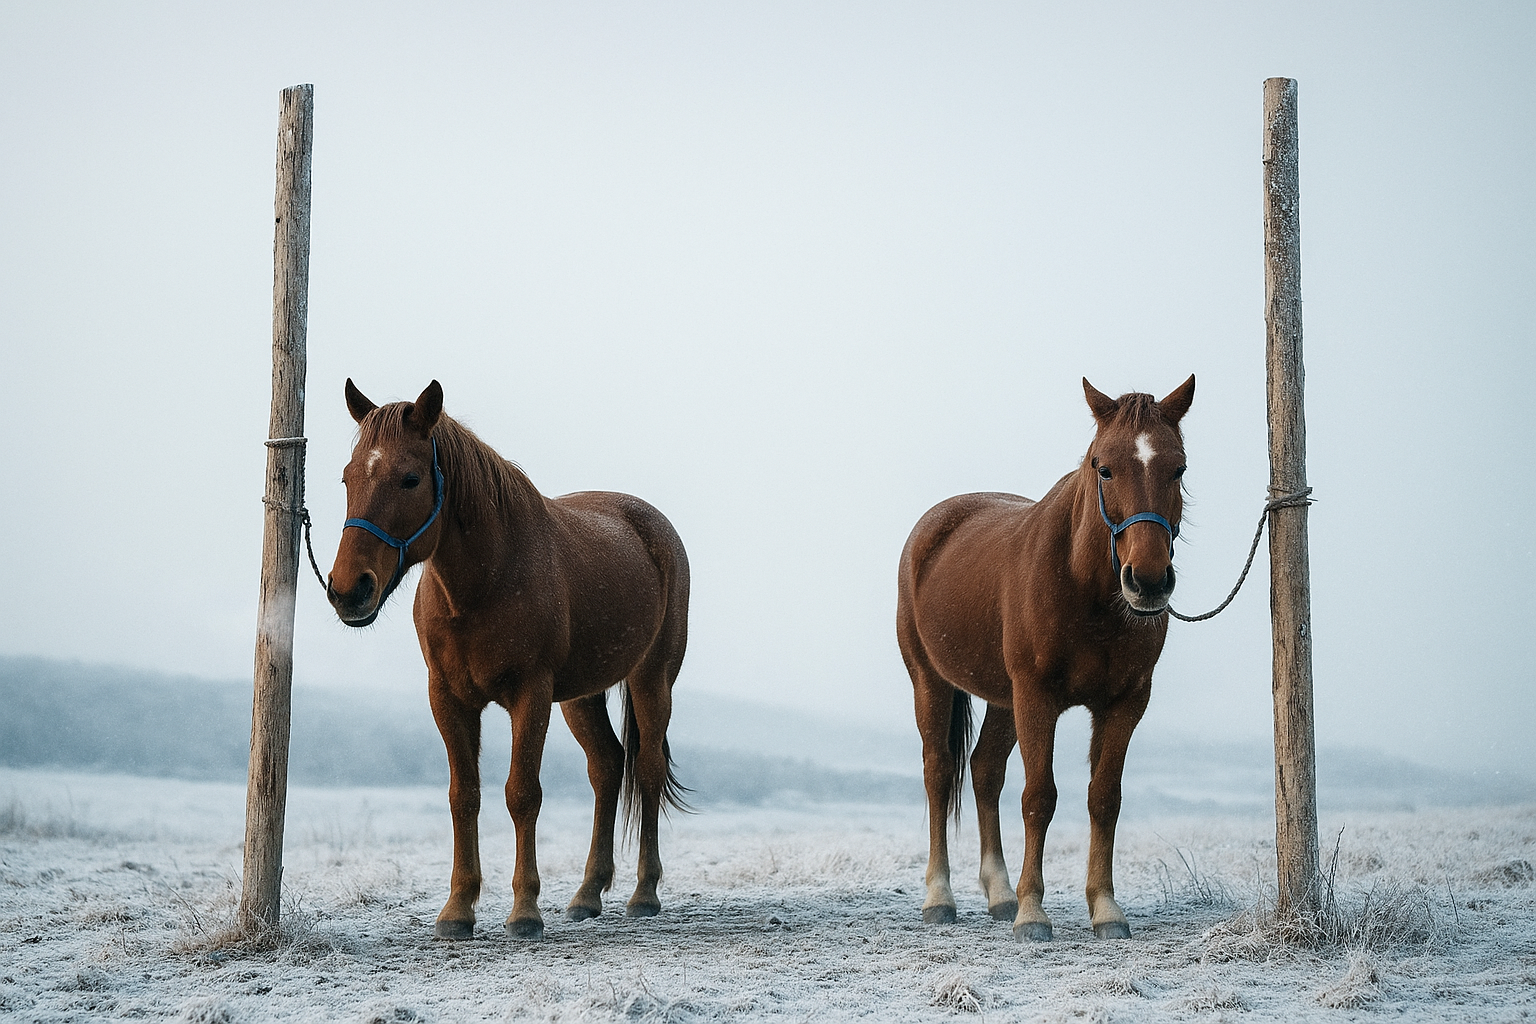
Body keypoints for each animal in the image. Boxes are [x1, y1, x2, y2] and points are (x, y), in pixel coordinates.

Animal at [325, 379, 690, 941]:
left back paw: (644, 894)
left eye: (410, 479)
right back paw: (587, 895)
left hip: (652, 681)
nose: (348, 591)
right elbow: (464, 795)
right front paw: (457, 909)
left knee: (646, 769)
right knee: (607, 767)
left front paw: (524, 912)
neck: (485, 582)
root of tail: (654, 528)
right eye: (347, 477)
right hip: (581, 697)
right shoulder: (448, 699)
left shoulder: (530, 694)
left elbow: (522, 794)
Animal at [896, 375, 1195, 941]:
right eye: (1103, 466)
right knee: (939, 772)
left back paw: (999, 894)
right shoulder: (1037, 697)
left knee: (985, 771)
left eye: (1179, 467)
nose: (1147, 581)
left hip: (1002, 701)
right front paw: (1033, 914)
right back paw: (939, 898)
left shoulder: (1125, 703)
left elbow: (1104, 797)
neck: (1087, 590)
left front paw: (1105, 909)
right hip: (932, 683)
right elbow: (1039, 797)